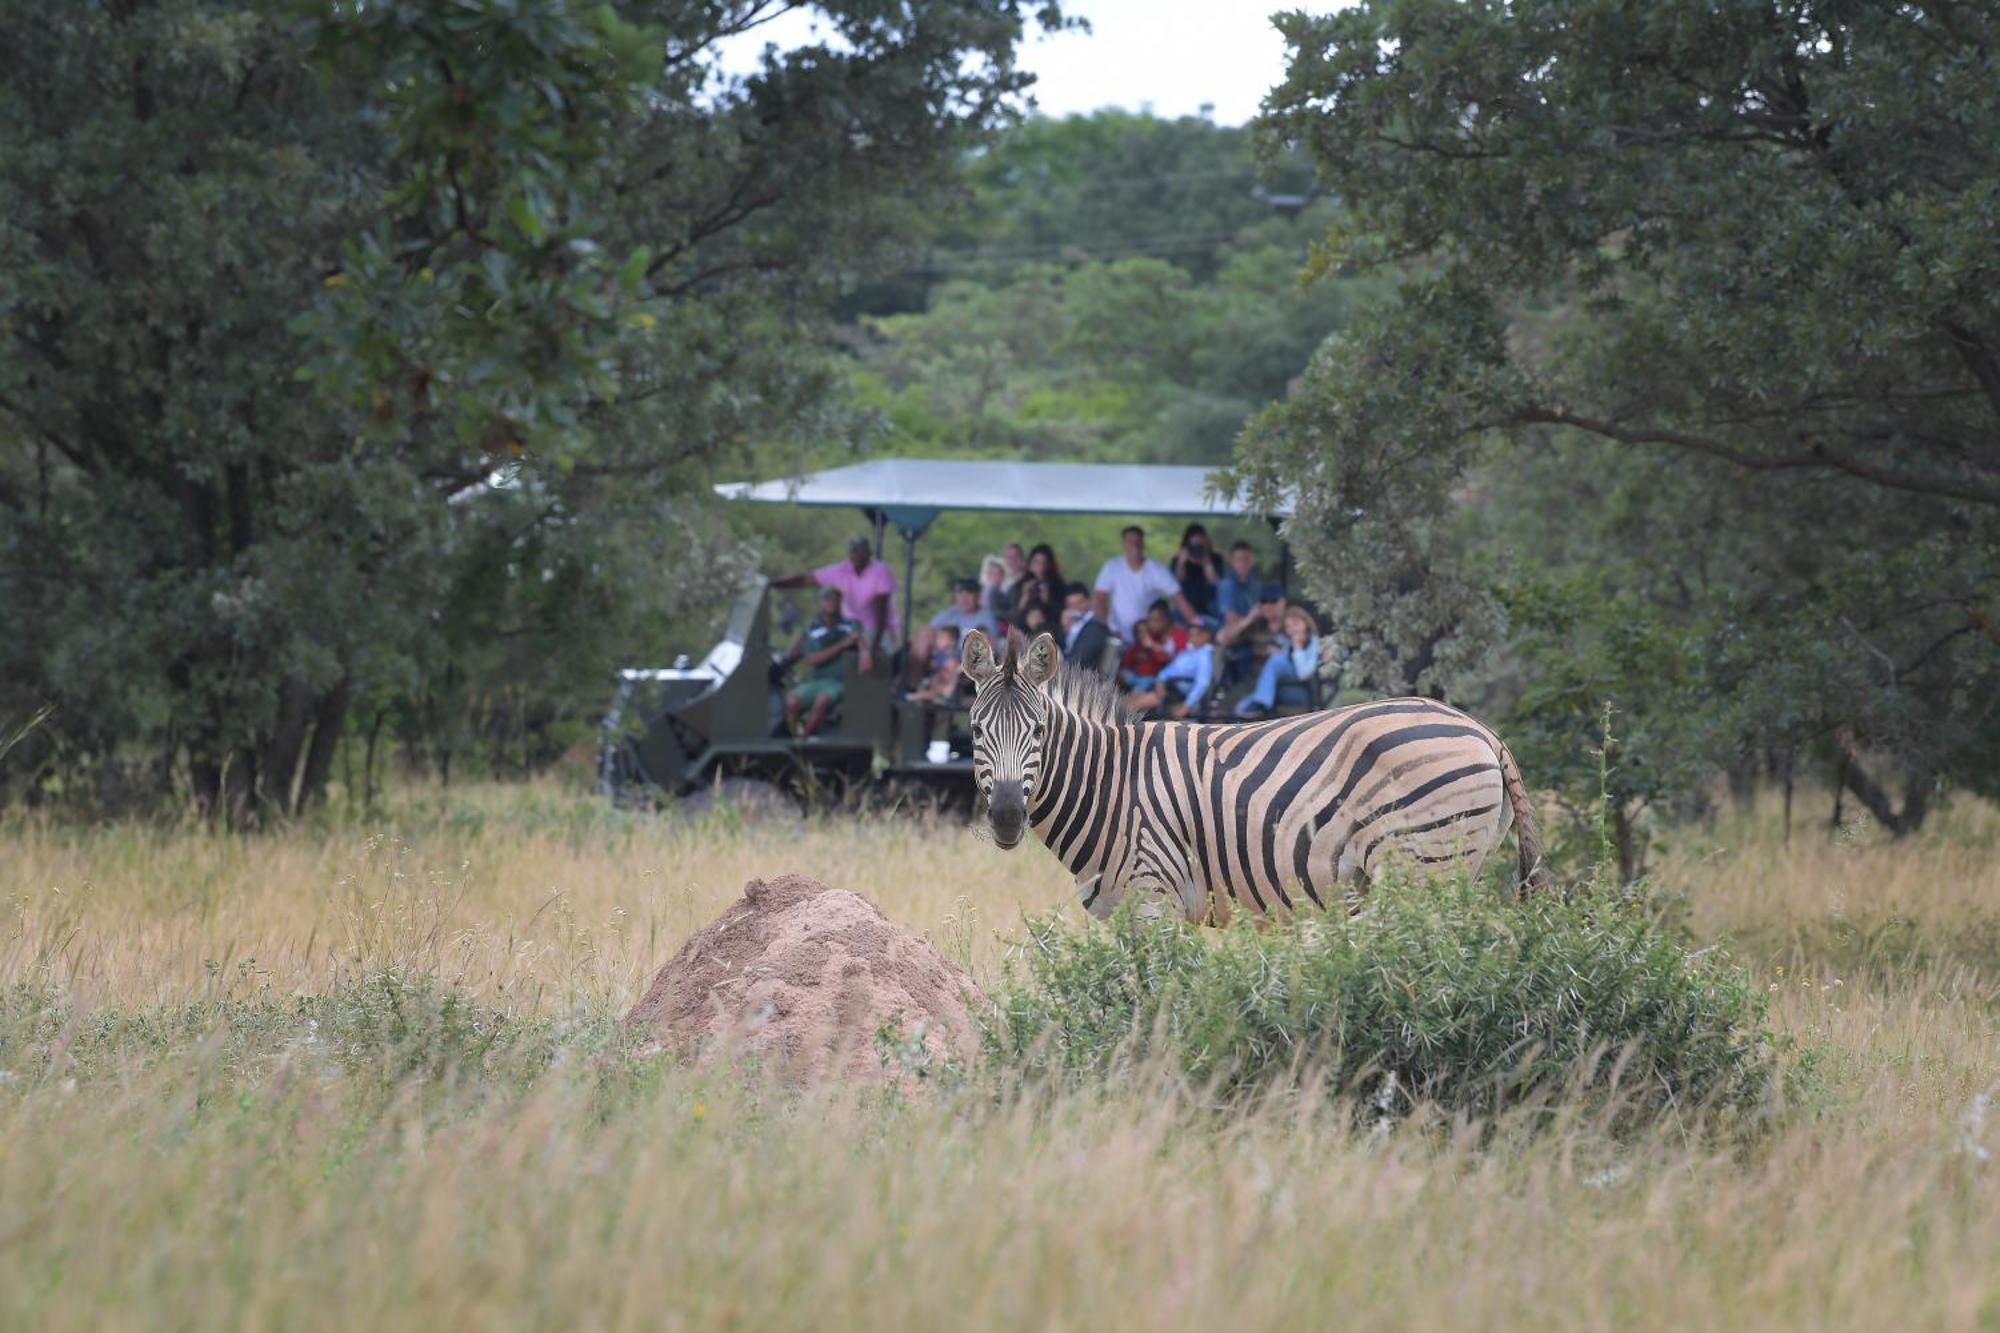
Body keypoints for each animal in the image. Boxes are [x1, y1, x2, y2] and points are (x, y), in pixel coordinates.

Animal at [964, 624, 1544, 920]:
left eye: (1039, 731)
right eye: (975, 731)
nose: (1008, 817)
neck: (1111, 786)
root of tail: (1480, 729)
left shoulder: (1154, 897)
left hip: (1423, 865)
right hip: (1458, 862)